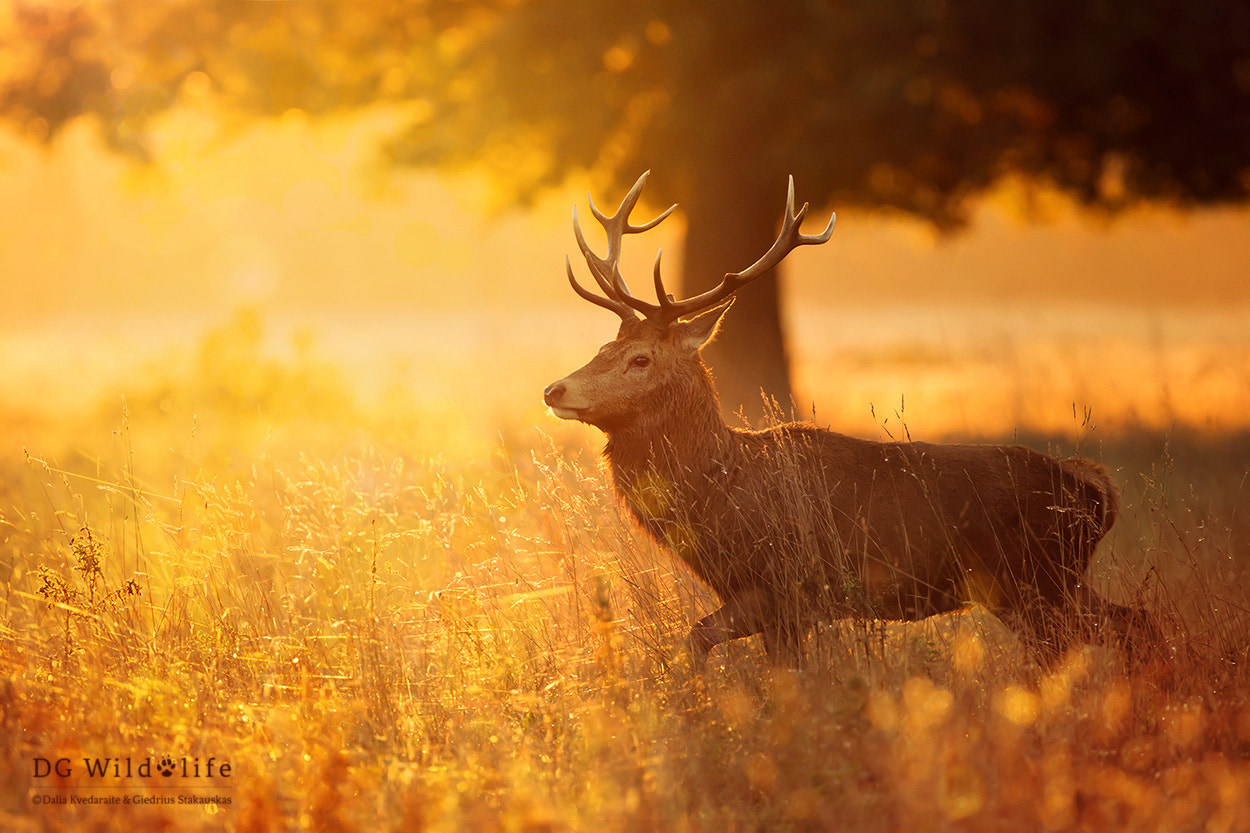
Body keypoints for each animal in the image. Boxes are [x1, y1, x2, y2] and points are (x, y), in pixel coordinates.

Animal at [542, 170, 1155, 660]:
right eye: (603, 347)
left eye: (641, 358)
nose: (554, 389)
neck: (718, 494)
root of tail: (1099, 490)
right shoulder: (757, 598)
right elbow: (697, 640)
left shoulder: (787, 588)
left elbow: (739, 656)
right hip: (1038, 584)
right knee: (1133, 623)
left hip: (1037, 577)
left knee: (1113, 630)